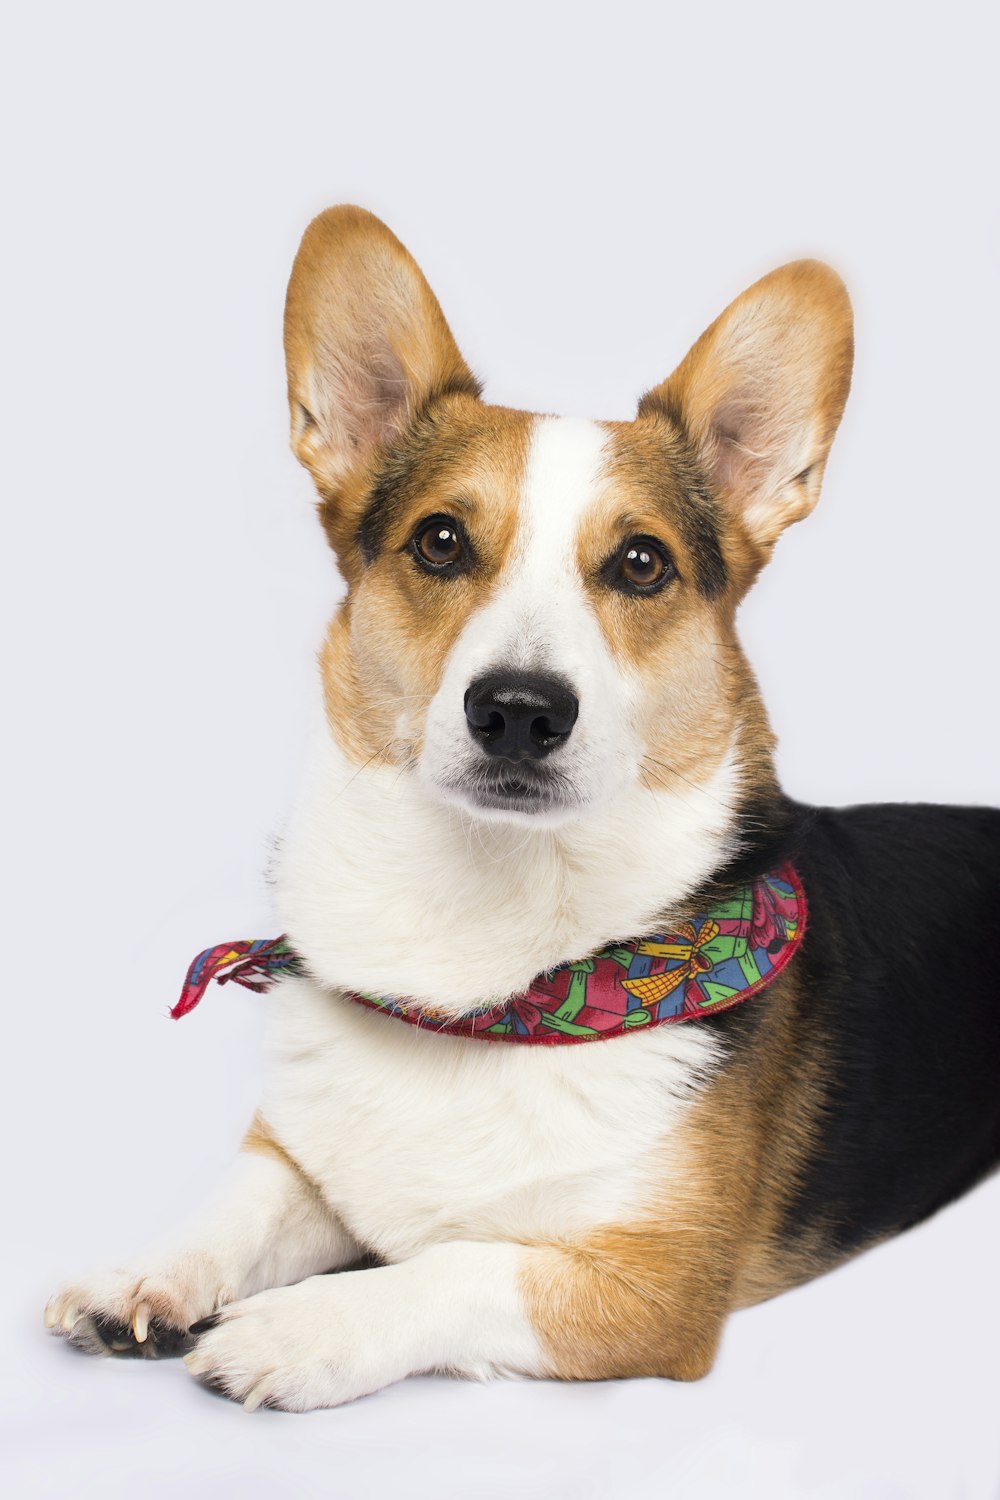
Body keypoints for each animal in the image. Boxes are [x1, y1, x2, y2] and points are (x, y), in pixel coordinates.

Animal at [44, 208, 1000, 1404]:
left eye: (640, 563)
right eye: (440, 541)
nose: (518, 712)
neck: (482, 973)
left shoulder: (650, 1286)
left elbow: (452, 1263)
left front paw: (296, 1326)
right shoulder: (301, 1154)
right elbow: (246, 1200)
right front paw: (147, 1277)